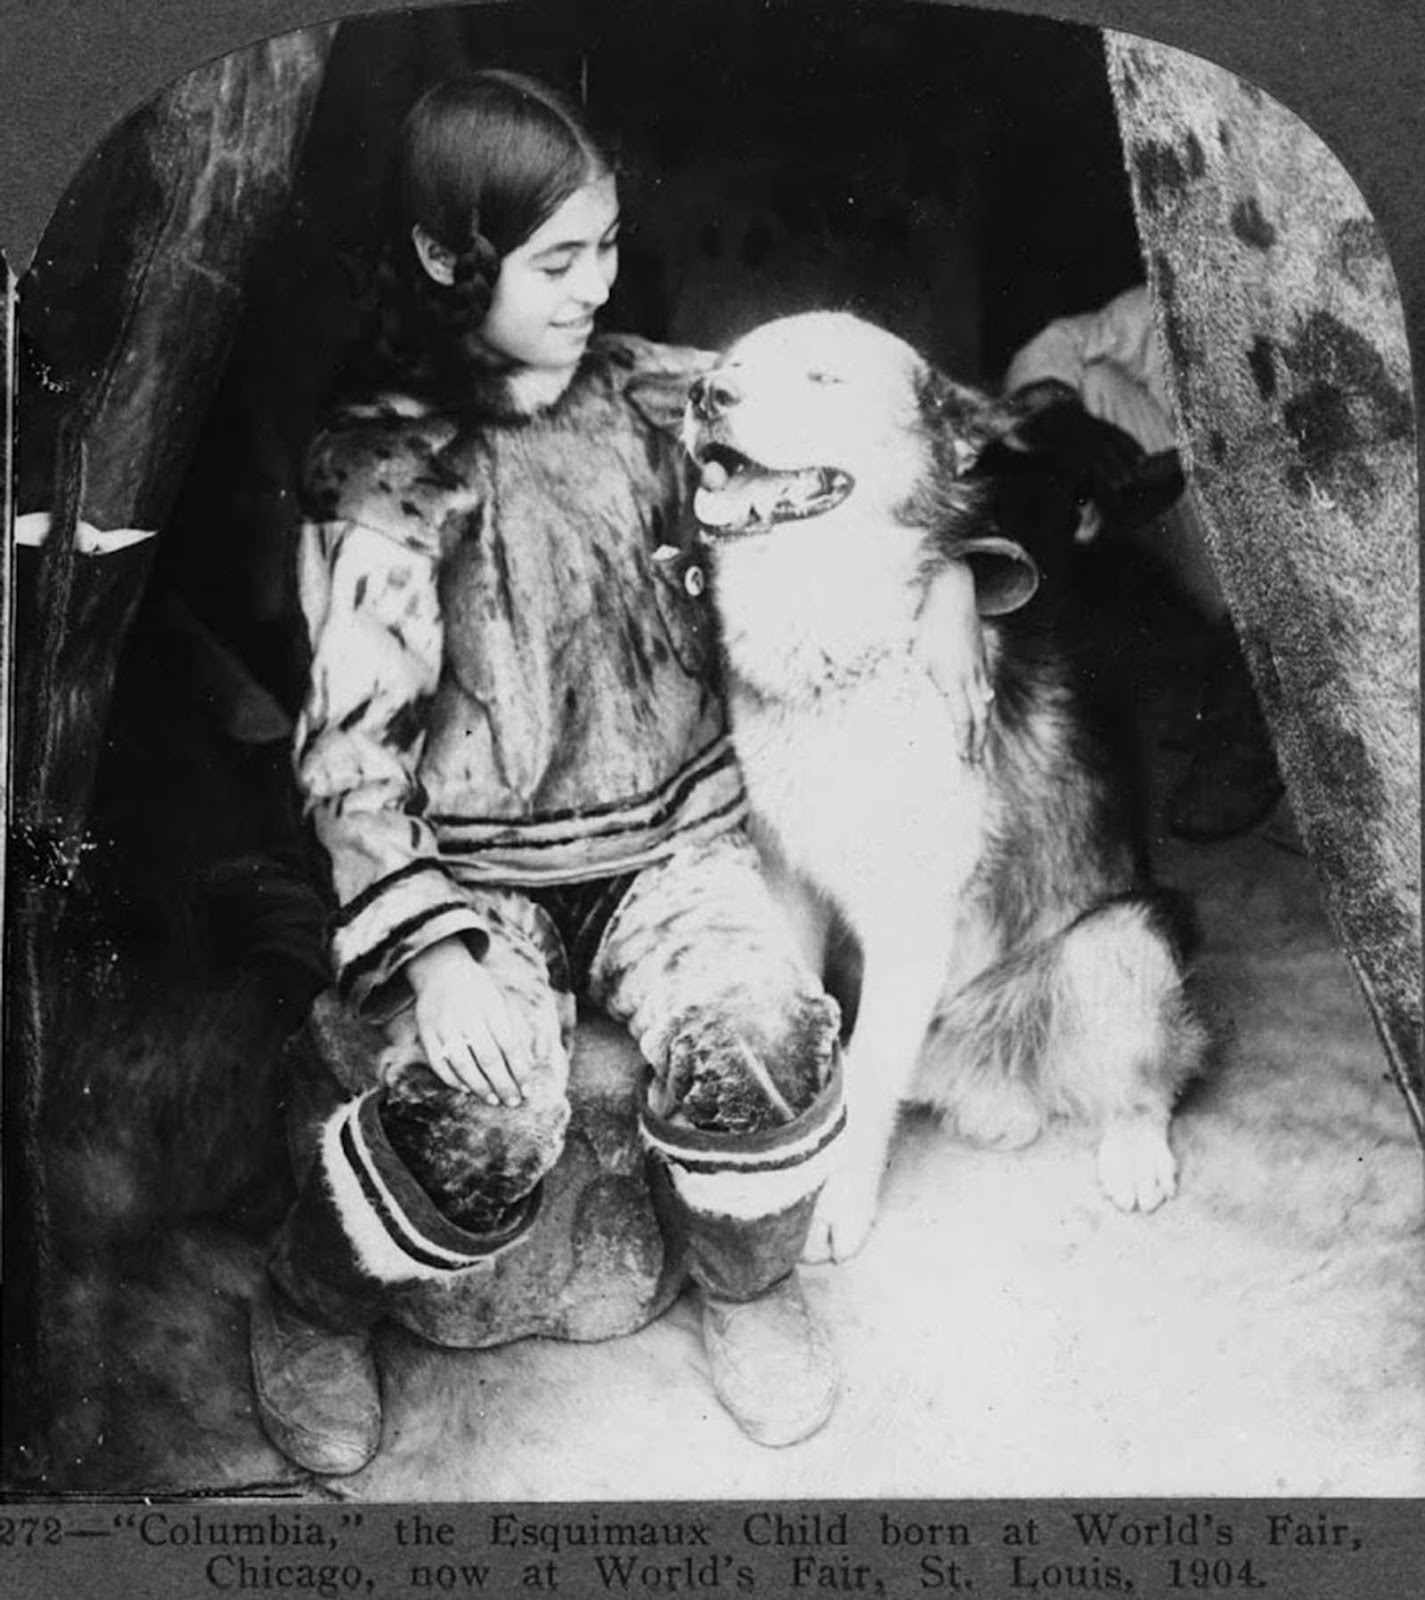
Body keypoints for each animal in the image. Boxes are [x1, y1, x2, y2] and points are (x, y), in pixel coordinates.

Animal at [684, 312, 1209, 1260]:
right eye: (731, 362)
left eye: (822, 377)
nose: (705, 394)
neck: (829, 652)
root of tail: (991, 1075)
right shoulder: (786, 880)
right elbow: (813, 1049)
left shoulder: (911, 919)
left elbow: (861, 1087)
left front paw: (836, 1205)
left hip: (1122, 935)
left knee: (1148, 1072)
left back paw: (1133, 1148)